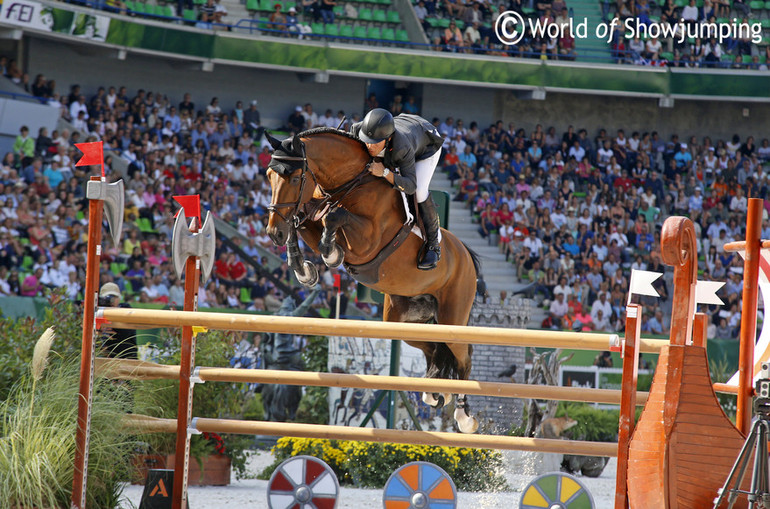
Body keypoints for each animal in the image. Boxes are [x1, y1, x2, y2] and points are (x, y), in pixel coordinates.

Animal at [264, 128, 480, 432]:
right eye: (268, 175)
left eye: (295, 179)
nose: (273, 234)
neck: (351, 183)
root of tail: (465, 254)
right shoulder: (310, 214)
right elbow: (300, 218)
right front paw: (303, 269)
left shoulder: (366, 242)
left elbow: (334, 216)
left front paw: (330, 253)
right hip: (404, 321)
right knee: (434, 347)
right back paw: (433, 392)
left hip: (453, 317)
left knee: (464, 356)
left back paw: (464, 416)